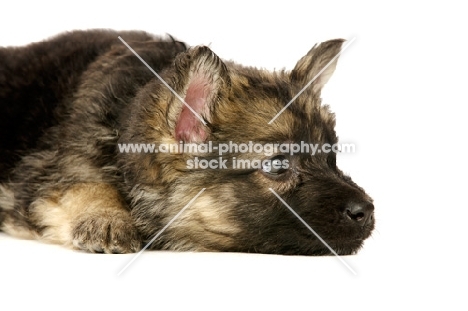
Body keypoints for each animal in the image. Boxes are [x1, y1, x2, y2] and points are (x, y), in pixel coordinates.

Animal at [0, 30, 372, 256]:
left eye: (331, 157)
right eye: (278, 165)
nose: (366, 211)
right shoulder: (53, 169)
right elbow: (81, 182)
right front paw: (107, 216)